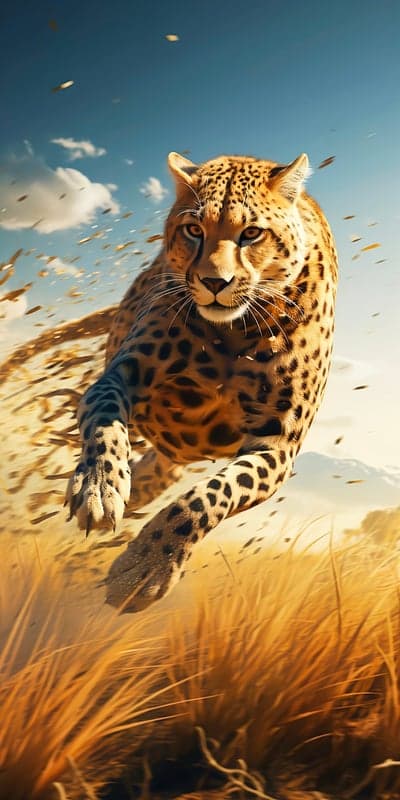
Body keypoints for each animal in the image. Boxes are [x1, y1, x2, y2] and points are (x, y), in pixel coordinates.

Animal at [66, 150, 338, 612]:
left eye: (251, 234)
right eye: (194, 230)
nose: (214, 282)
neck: (236, 333)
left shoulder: (277, 446)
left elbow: (209, 495)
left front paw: (144, 568)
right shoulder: (121, 373)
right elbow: (104, 422)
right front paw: (99, 486)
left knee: (171, 468)